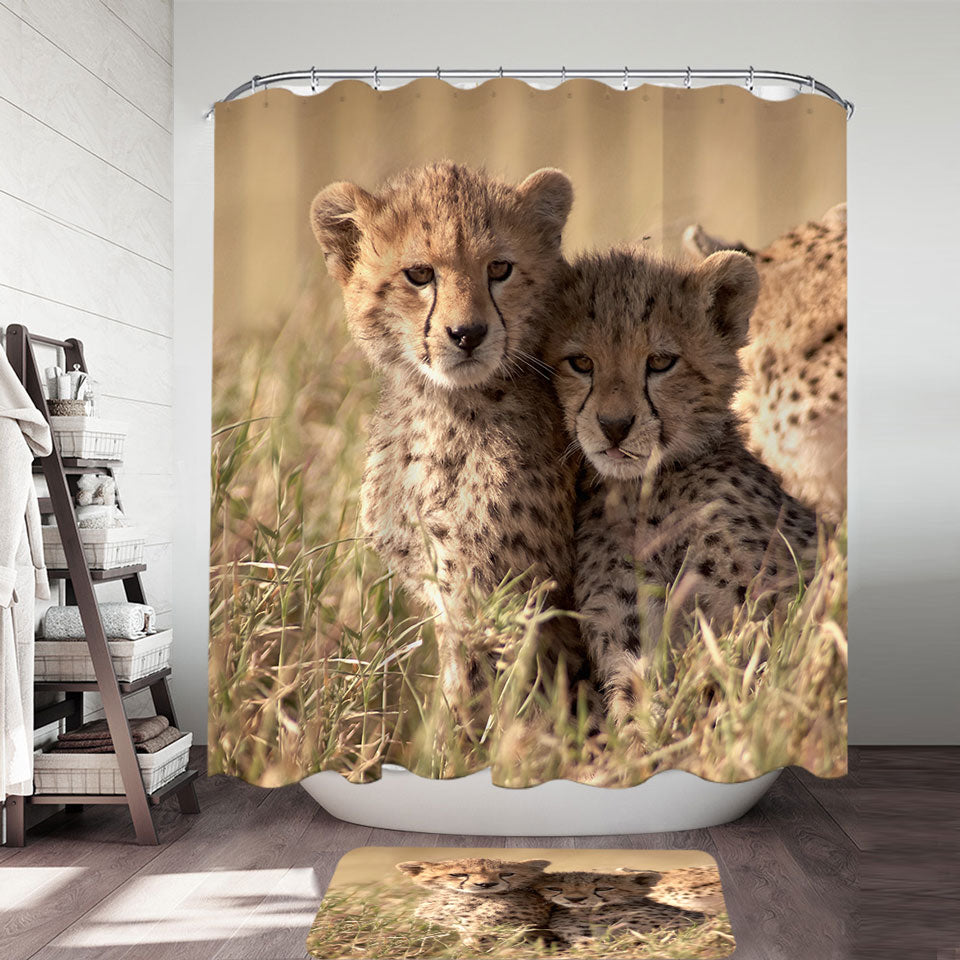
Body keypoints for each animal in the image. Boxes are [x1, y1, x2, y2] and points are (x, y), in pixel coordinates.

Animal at [310, 162, 584, 724]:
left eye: (499, 268)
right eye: (419, 274)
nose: (468, 334)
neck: (442, 406)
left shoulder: (497, 602)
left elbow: (479, 706)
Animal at [546, 247, 819, 726]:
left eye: (660, 362)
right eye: (581, 363)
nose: (614, 425)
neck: (646, 491)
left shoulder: (769, 603)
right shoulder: (629, 625)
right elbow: (638, 701)